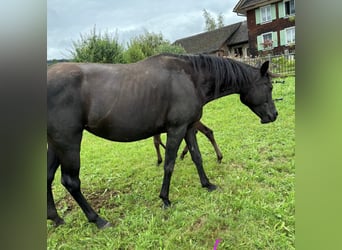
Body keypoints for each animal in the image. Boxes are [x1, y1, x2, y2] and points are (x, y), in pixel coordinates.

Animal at [47, 53, 278, 229]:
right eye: (269, 87)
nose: (274, 115)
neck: (190, 78)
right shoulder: (176, 130)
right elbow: (169, 164)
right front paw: (165, 199)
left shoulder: (189, 128)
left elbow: (196, 156)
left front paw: (207, 184)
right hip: (68, 142)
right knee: (71, 182)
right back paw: (98, 220)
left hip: (56, 144)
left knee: (49, 177)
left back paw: (56, 218)